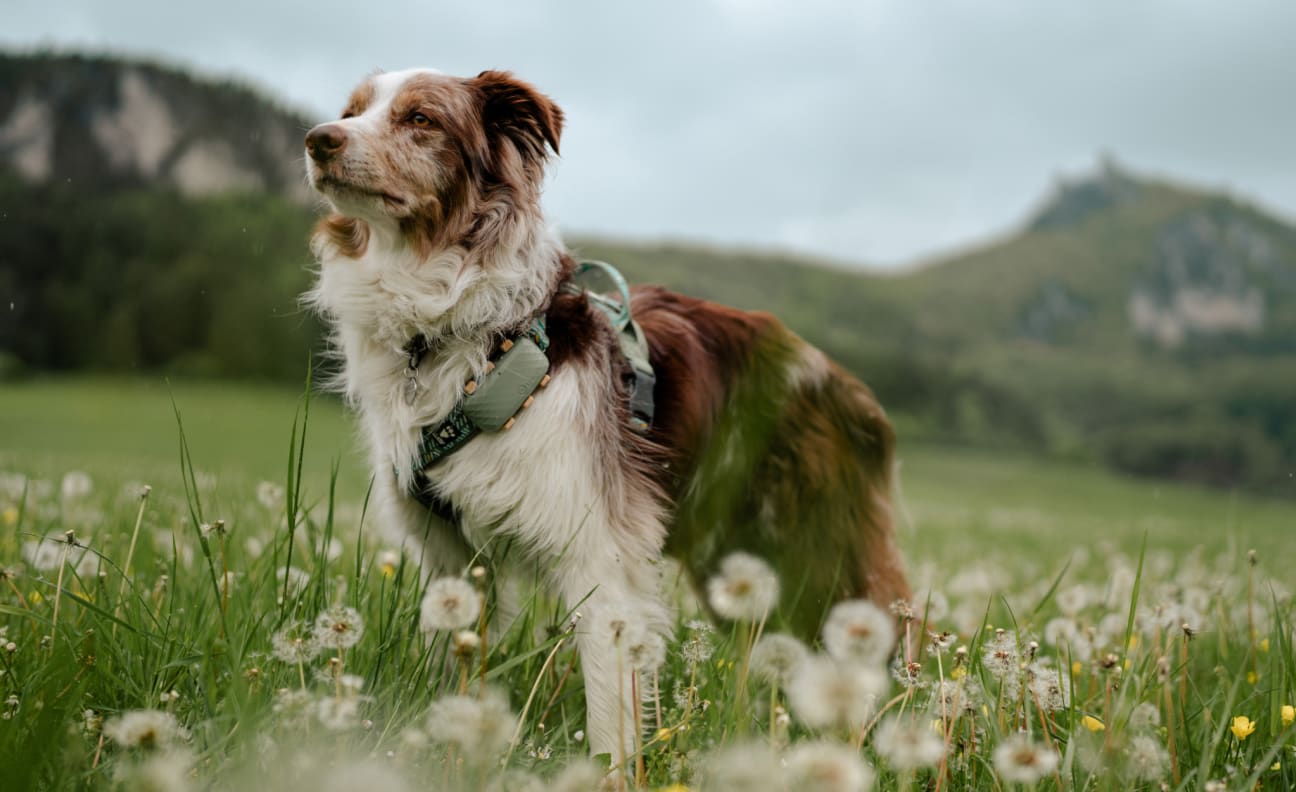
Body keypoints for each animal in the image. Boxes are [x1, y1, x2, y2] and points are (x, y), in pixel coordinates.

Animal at [303, 66, 912, 757]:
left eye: (421, 120)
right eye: (349, 112)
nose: (318, 140)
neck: (467, 336)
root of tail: (843, 382)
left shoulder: (598, 549)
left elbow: (608, 703)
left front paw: (608, 766)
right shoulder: (449, 554)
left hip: (814, 551)